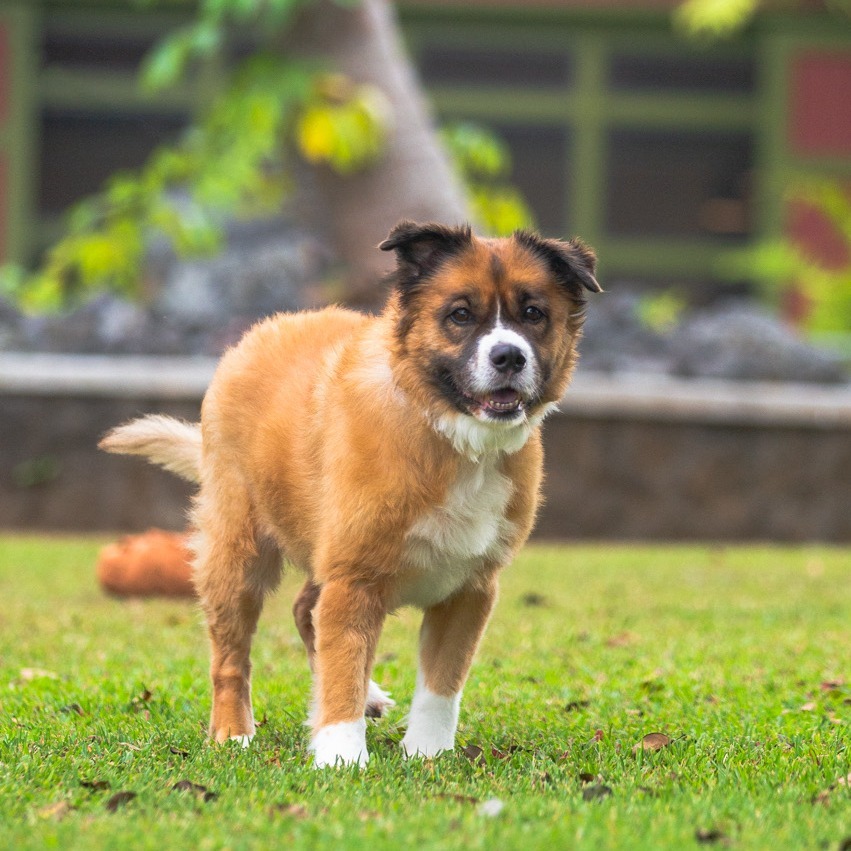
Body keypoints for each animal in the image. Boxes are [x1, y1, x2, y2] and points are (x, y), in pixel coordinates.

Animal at [101, 223, 600, 768]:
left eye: (533, 314)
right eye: (460, 315)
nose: (509, 356)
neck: (449, 437)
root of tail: (260, 332)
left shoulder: (469, 590)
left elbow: (441, 685)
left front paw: (426, 752)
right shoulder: (353, 581)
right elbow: (343, 666)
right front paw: (341, 757)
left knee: (304, 610)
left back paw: (367, 698)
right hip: (237, 555)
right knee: (232, 656)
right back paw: (234, 731)